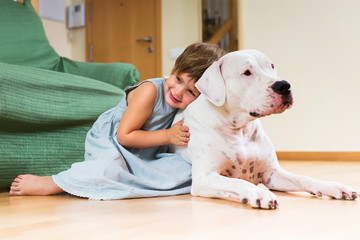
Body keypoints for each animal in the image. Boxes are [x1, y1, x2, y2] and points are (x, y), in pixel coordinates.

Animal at [172, 49, 358, 209]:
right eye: (247, 72)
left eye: (272, 66)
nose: (284, 85)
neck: (242, 131)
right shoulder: (204, 178)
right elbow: (238, 181)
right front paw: (258, 193)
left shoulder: (272, 175)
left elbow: (303, 177)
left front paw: (333, 187)